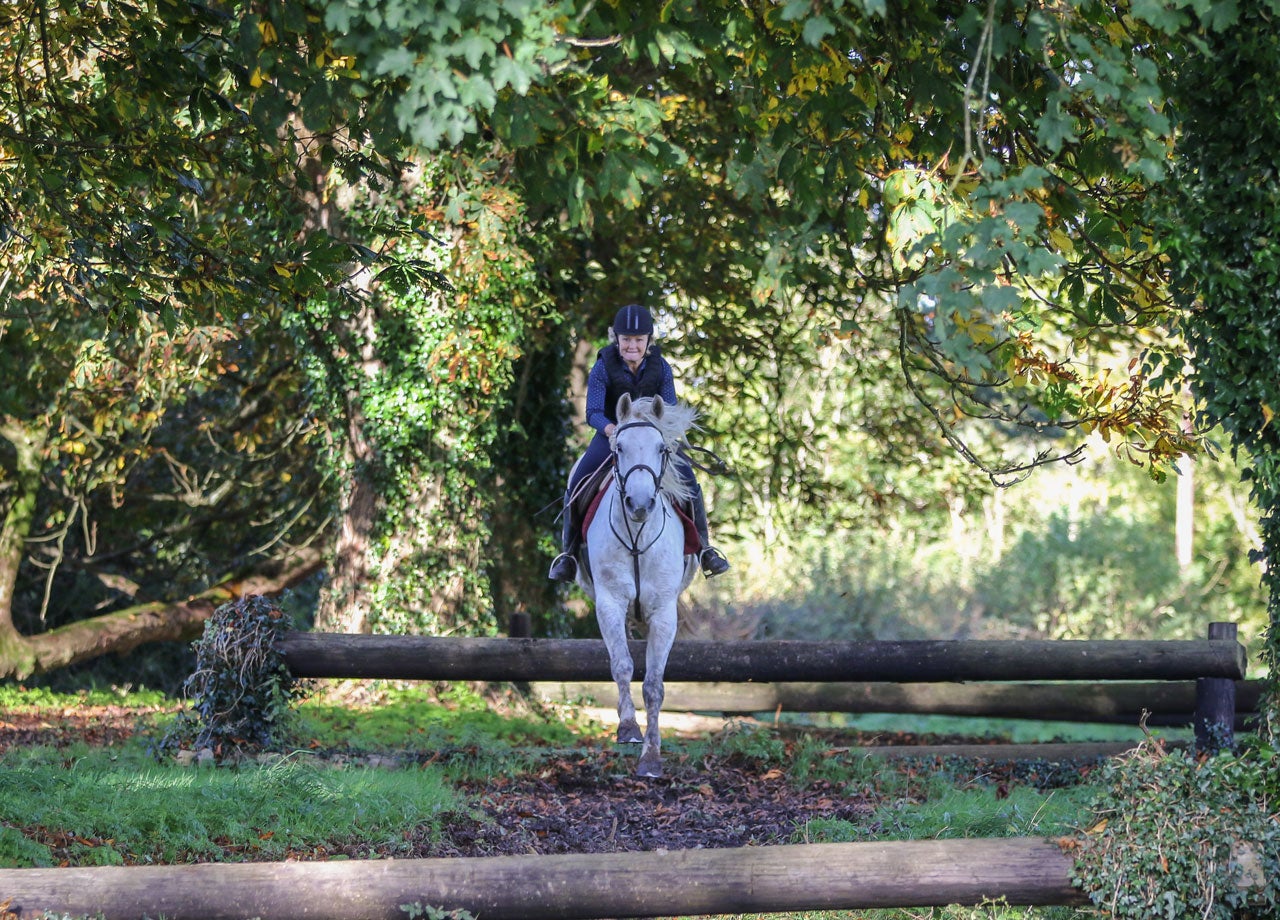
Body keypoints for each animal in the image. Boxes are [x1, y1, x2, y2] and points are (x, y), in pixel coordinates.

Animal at [575, 393, 699, 778]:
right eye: (618, 448)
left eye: (662, 448)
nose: (640, 504)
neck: (637, 537)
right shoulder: (609, 603)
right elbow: (622, 665)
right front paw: (628, 728)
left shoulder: (663, 613)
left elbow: (654, 685)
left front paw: (651, 758)